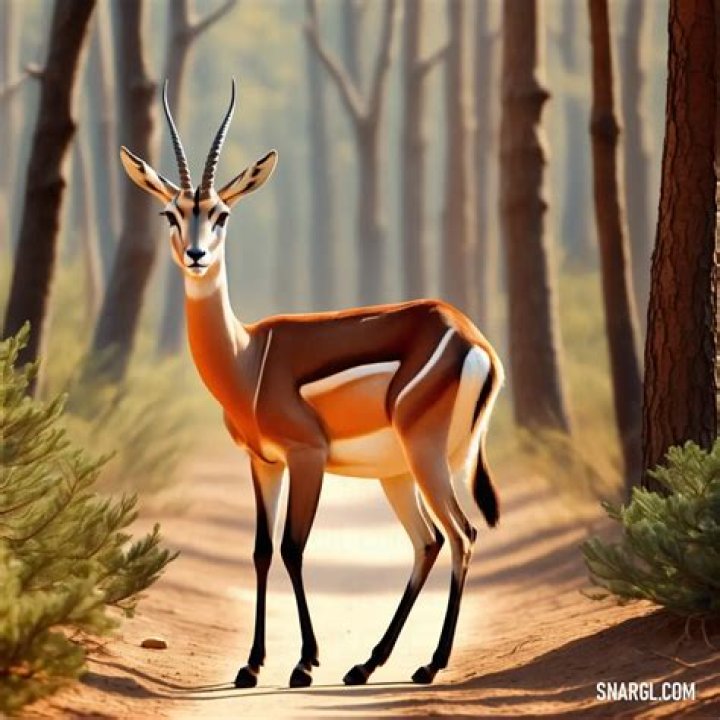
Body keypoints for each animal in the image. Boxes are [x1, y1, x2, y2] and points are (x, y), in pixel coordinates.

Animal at [120, 80, 504, 689]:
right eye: (171, 213)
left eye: (221, 214)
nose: (197, 256)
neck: (248, 357)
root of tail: (471, 335)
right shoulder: (262, 462)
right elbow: (259, 550)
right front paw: (251, 664)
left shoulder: (307, 456)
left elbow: (293, 547)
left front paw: (302, 663)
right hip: (398, 471)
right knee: (428, 541)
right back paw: (365, 665)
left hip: (425, 456)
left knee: (462, 534)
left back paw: (428, 665)